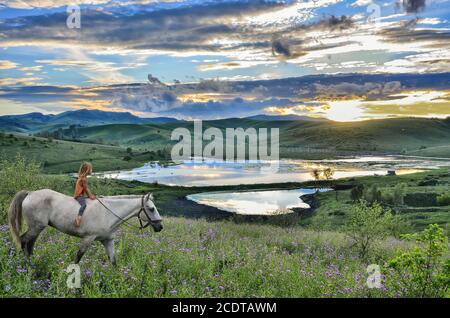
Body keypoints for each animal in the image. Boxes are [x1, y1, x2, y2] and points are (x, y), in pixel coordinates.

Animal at [7, 190, 163, 264]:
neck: (108, 212)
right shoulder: (88, 239)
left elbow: (113, 261)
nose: (160, 226)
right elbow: (78, 258)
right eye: (151, 209)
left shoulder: (108, 241)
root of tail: (30, 193)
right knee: (22, 241)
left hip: (37, 228)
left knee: (29, 245)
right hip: (35, 227)